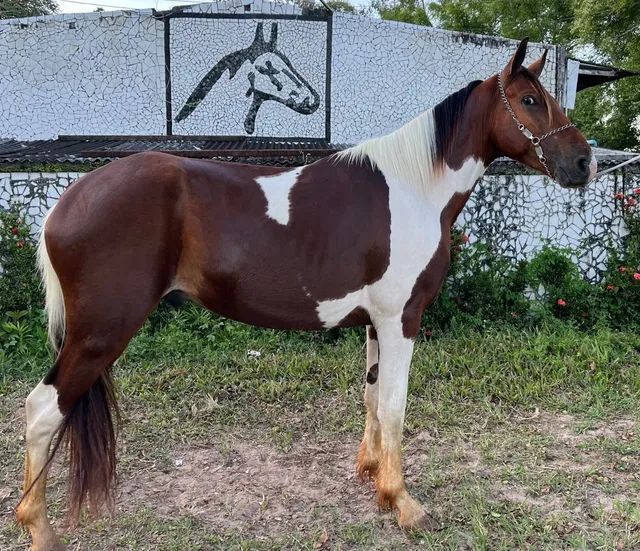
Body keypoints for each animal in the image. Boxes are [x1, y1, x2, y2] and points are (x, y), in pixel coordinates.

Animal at [16, 37, 596, 548]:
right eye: (529, 101)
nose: (584, 163)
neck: (413, 189)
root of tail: (66, 202)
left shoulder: (374, 323)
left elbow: (370, 397)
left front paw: (372, 478)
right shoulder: (401, 320)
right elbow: (395, 406)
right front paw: (405, 504)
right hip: (100, 333)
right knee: (42, 409)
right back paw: (39, 530)